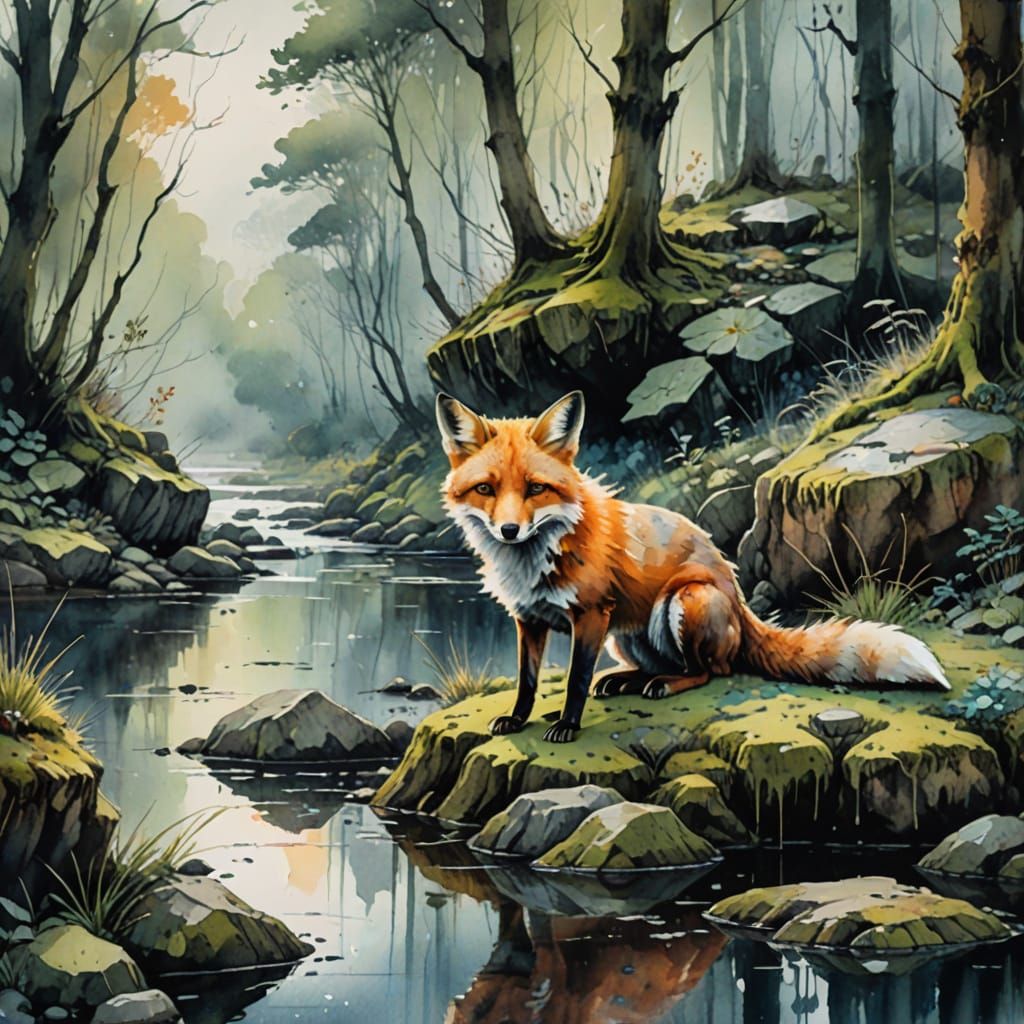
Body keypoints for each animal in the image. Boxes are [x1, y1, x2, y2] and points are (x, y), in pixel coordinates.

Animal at [436, 390, 950, 744]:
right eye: (486, 489)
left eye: (536, 489)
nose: (508, 530)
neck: (533, 560)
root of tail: (740, 603)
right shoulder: (528, 619)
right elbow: (527, 680)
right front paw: (517, 718)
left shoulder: (591, 614)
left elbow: (576, 681)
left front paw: (567, 725)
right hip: (626, 636)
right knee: (659, 666)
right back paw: (629, 681)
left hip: (684, 602)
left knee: (709, 671)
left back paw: (665, 686)